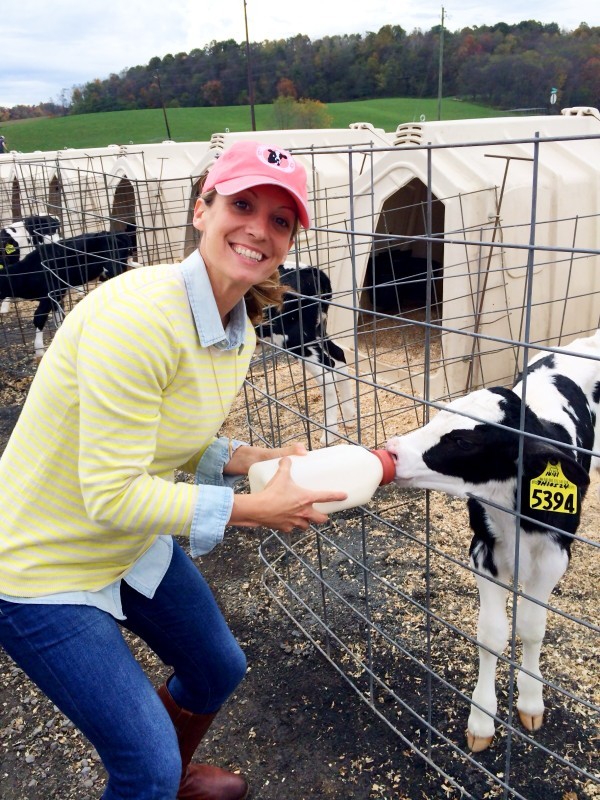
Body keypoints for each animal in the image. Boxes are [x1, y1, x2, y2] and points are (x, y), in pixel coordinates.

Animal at [0, 230, 135, 358]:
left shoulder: (50, 294)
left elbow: (38, 318)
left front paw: (39, 350)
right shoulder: (56, 296)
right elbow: (58, 316)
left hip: (114, 268)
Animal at [258, 260, 356, 444]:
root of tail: (311, 270)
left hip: (295, 338)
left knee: (327, 372)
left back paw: (329, 433)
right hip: (319, 330)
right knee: (339, 356)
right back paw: (349, 416)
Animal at [386, 330, 596, 752]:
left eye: (466, 442)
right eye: (440, 416)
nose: (392, 450)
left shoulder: (553, 559)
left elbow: (531, 628)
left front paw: (530, 700)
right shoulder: (483, 552)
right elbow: (491, 635)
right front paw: (482, 719)